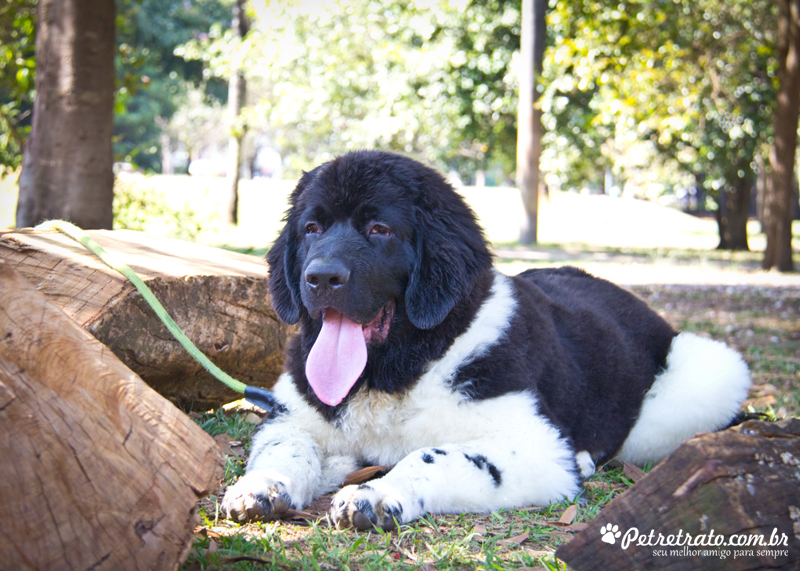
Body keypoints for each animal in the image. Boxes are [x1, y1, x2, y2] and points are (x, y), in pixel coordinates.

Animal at [222, 152, 752, 532]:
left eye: (379, 230)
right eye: (311, 229)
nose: (320, 277)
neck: (400, 370)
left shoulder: (536, 448)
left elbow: (435, 455)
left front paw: (378, 493)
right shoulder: (293, 415)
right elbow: (286, 448)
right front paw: (262, 487)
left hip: (710, 375)